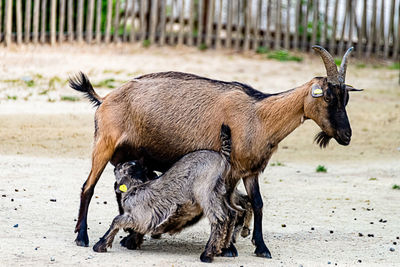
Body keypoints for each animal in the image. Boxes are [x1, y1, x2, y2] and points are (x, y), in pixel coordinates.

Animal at [71, 46, 362, 260]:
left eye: (346, 98)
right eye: (328, 97)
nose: (347, 136)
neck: (258, 116)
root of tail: (105, 98)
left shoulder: (250, 170)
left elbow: (257, 203)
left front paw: (261, 247)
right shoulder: (230, 170)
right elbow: (230, 206)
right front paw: (229, 248)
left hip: (129, 156)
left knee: (120, 190)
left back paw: (129, 236)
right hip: (104, 143)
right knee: (88, 187)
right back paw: (82, 237)